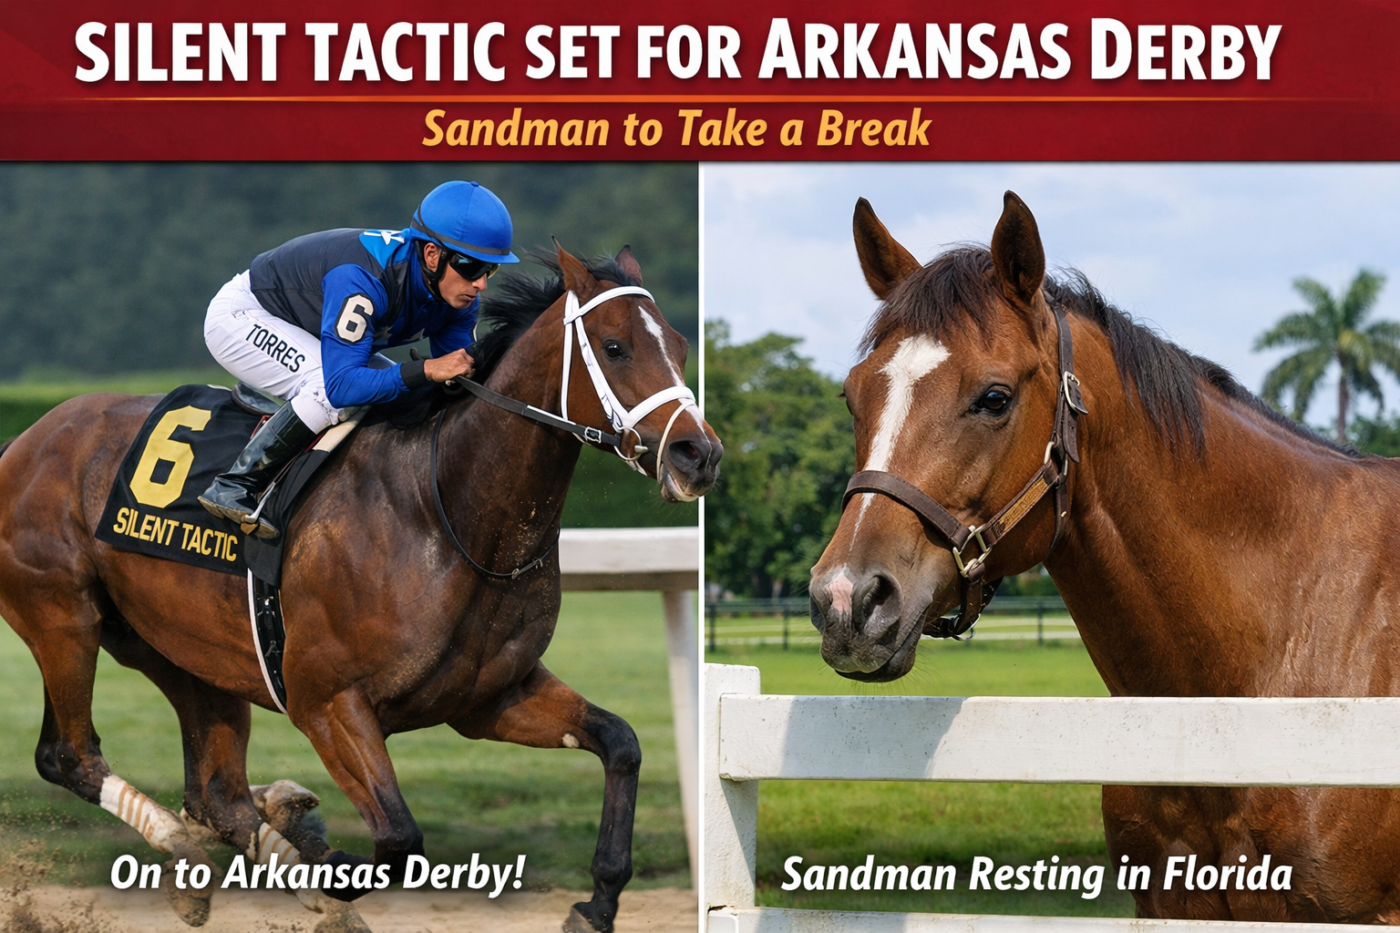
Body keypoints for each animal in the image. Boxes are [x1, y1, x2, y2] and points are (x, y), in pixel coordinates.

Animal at [0, 243, 721, 933]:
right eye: (615, 346)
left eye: (680, 345)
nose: (698, 454)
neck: (447, 509)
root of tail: (26, 440)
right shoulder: (327, 700)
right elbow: (398, 838)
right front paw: (322, 871)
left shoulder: (489, 696)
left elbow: (620, 743)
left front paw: (596, 902)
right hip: (63, 614)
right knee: (70, 756)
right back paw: (192, 851)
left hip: (181, 650)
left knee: (217, 793)